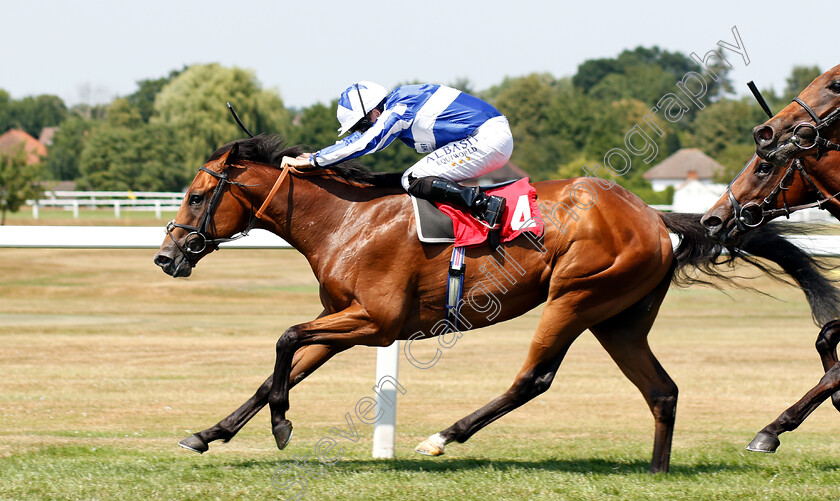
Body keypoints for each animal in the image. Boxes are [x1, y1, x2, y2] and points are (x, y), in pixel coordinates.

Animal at [156, 135, 832, 470]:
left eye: (196, 197)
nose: (166, 257)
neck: (346, 220)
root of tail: (652, 214)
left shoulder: (375, 322)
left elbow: (285, 339)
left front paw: (280, 425)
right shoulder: (341, 316)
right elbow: (283, 363)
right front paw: (208, 433)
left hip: (575, 296)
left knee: (533, 377)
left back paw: (442, 437)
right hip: (618, 319)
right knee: (661, 390)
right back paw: (657, 471)